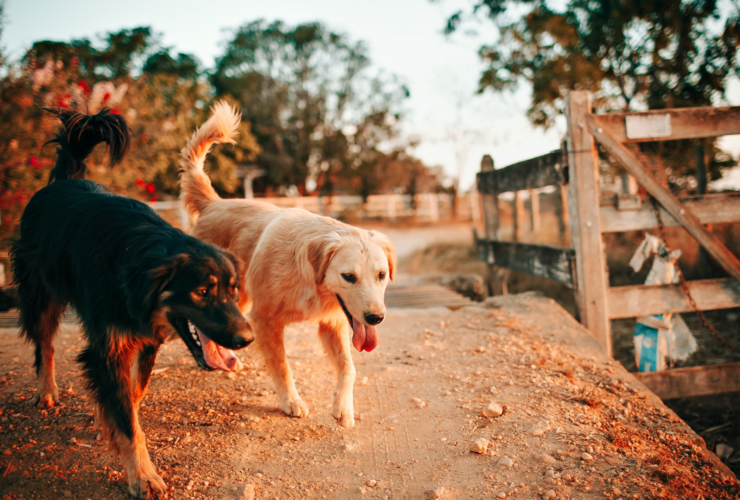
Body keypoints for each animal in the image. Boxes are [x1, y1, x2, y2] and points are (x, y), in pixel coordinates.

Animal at [10, 109, 253, 500]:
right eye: (202, 292)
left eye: (233, 290)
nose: (247, 339)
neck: (136, 259)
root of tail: (63, 181)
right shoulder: (108, 346)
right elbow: (126, 419)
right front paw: (142, 475)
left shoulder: (147, 339)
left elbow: (133, 395)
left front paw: (112, 416)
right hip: (40, 294)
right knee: (44, 345)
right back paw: (46, 391)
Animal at [179, 102, 396, 426]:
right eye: (349, 277)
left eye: (381, 275)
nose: (375, 318)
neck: (309, 281)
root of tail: (213, 203)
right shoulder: (265, 320)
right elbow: (282, 366)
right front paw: (291, 401)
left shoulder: (331, 323)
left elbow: (349, 368)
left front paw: (343, 407)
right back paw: (214, 358)